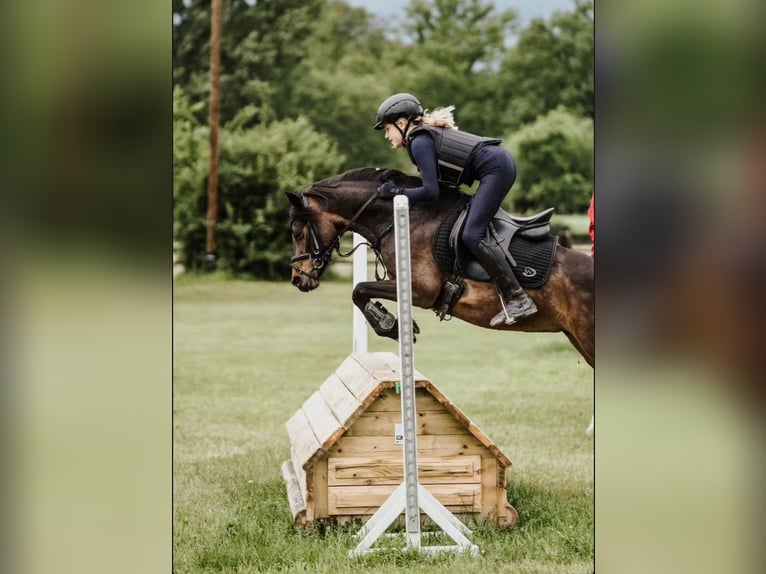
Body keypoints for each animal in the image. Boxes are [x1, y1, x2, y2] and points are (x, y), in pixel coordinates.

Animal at [288, 166, 592, 368]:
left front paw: (391, 325)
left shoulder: (422, 290)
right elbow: (360, 291)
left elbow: (359, 290)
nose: (298, 279)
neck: (405, 219)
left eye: (296, 232)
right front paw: (394, 324)